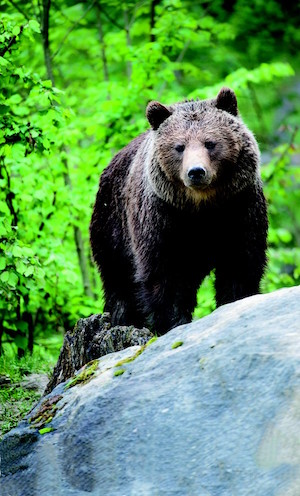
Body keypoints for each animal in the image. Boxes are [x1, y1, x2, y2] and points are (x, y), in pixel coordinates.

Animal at [90, 87, 268, 336]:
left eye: (210, 143)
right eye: (179, 146)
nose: (196, 171)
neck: (202, 206)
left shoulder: (239, 207)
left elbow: (240, 262)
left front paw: (234, 302)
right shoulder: (163, 218)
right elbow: (165, 274)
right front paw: (172, 322)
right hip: (112, 226)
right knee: (119, 282)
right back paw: (124, 319)